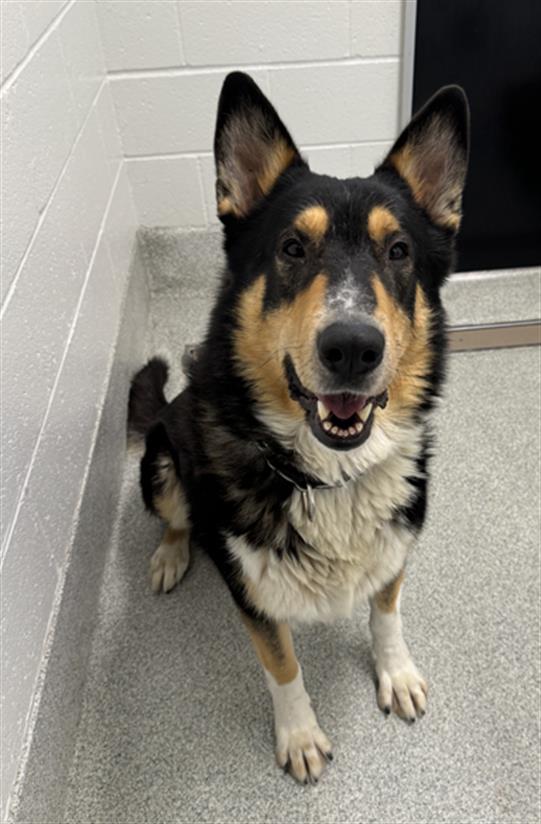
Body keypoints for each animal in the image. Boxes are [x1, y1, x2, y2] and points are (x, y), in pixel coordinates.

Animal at [129, 72, 466, 784]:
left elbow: (386, 612)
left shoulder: (395, 547)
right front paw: (301, 734)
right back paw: (172, 553)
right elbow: (282, 663)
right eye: (291, 248)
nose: (353, 348)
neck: (331, 479)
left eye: (399, 252)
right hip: (163, 460)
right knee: (175, 515)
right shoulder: (253, 597)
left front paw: (395, 672)